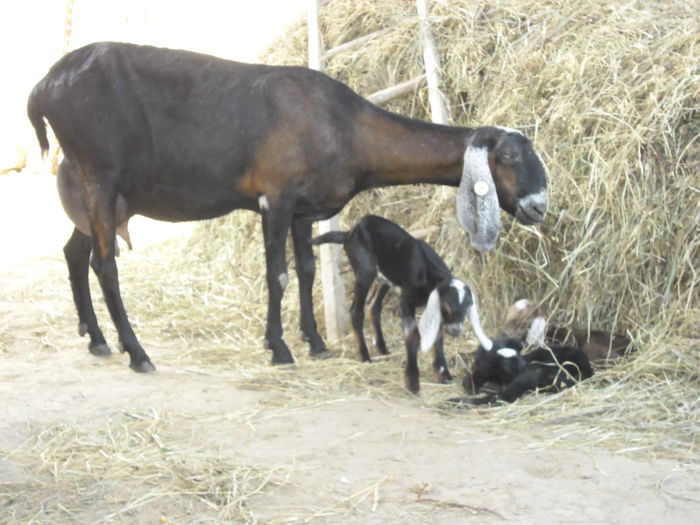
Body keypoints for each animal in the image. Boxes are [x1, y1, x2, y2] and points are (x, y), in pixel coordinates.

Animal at [27, 44, 548, 372]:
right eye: (507, 156)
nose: (539, 205)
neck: (347, 126)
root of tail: (43, 87)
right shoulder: (275, 198)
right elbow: (276, 273)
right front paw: (279, 349)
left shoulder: (303, 208)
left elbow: (306, 272)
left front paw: (315, 343)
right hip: (100, 177)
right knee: (105, 265)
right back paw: (136, 353)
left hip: (99, 194)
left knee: (76, 254)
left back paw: (97, 339)